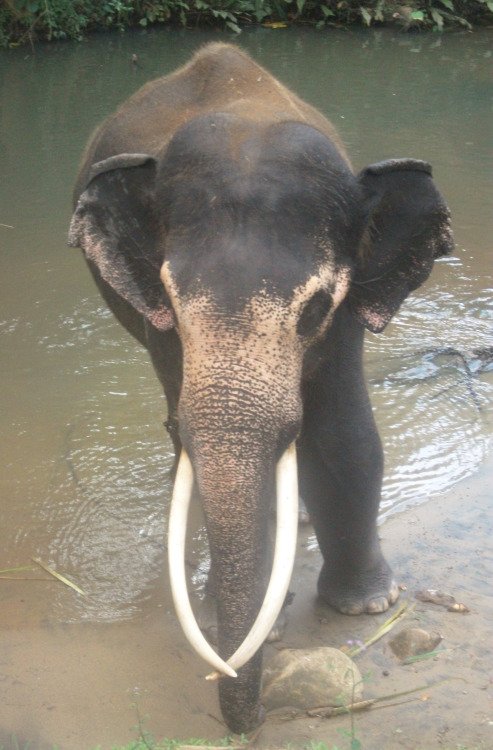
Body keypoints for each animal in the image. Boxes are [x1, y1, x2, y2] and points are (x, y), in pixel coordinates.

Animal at [69, 43, 454, 733]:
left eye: (315, 308)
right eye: (171, 303)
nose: (244, 725)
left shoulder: (348, 305)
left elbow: (344, 433)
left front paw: (366, 607)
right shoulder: (157, 324)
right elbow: (189, 438)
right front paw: (253, 629)